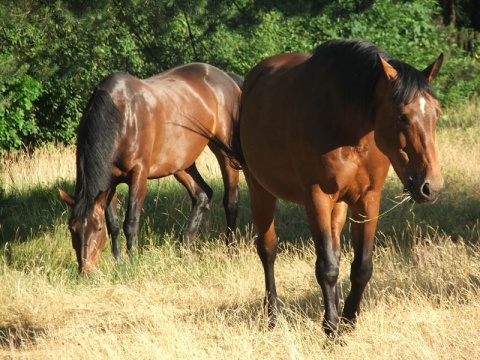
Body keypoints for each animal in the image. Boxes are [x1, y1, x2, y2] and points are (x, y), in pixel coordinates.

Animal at [58, 63, 242, 274]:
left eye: (97, 228)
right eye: (72, 228)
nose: (86, 270)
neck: (120, 116)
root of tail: (226, 77)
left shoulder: (139, 174)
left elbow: (131, 222)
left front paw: (133, 263)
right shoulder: (109, 182)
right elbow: (114, 224)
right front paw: (119, 263)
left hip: (226, 153)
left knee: (231, 202)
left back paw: (231, 252)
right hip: (181, 163)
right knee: (202, 194)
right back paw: (185, 250)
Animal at [235, 39, 442, 334]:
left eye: (436, 113)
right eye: (402, 116)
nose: (430, 186)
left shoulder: (368, 200)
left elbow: (361, 266)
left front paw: (348, 320)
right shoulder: (317, 198)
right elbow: (327, 267)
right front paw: (331, 327)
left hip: (340, 206)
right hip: (260, 191)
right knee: (268, 249)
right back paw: (273, 315)